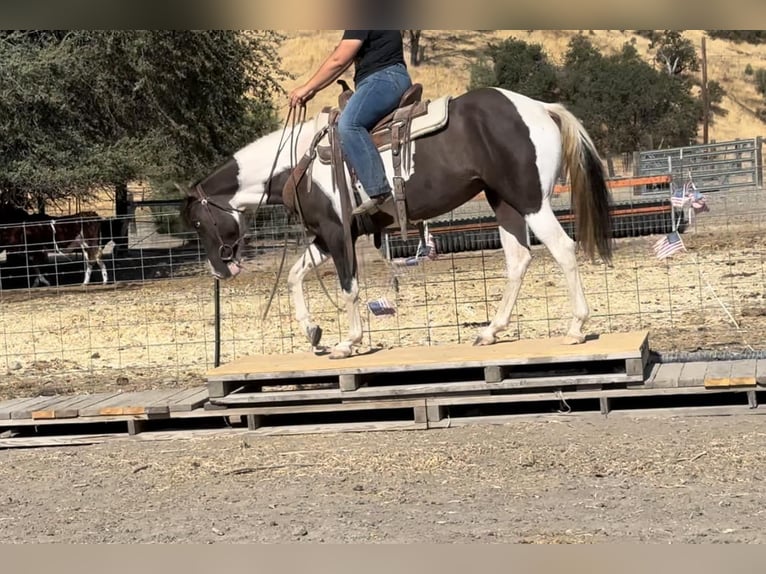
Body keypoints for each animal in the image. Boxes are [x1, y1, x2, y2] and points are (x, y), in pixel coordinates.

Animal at [178, 85, 612, 360]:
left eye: (198, 224)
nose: (220, 271)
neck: (297, 163)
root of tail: (539, 107)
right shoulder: (327, 235)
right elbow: (295, 275)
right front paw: (313, 333)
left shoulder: (337, 233)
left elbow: (348, 287)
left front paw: (347, 343)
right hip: (504, 203)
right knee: (518, 260)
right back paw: (490, 331)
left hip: (531, 201)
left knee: (563, 249)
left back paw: (576, 328)